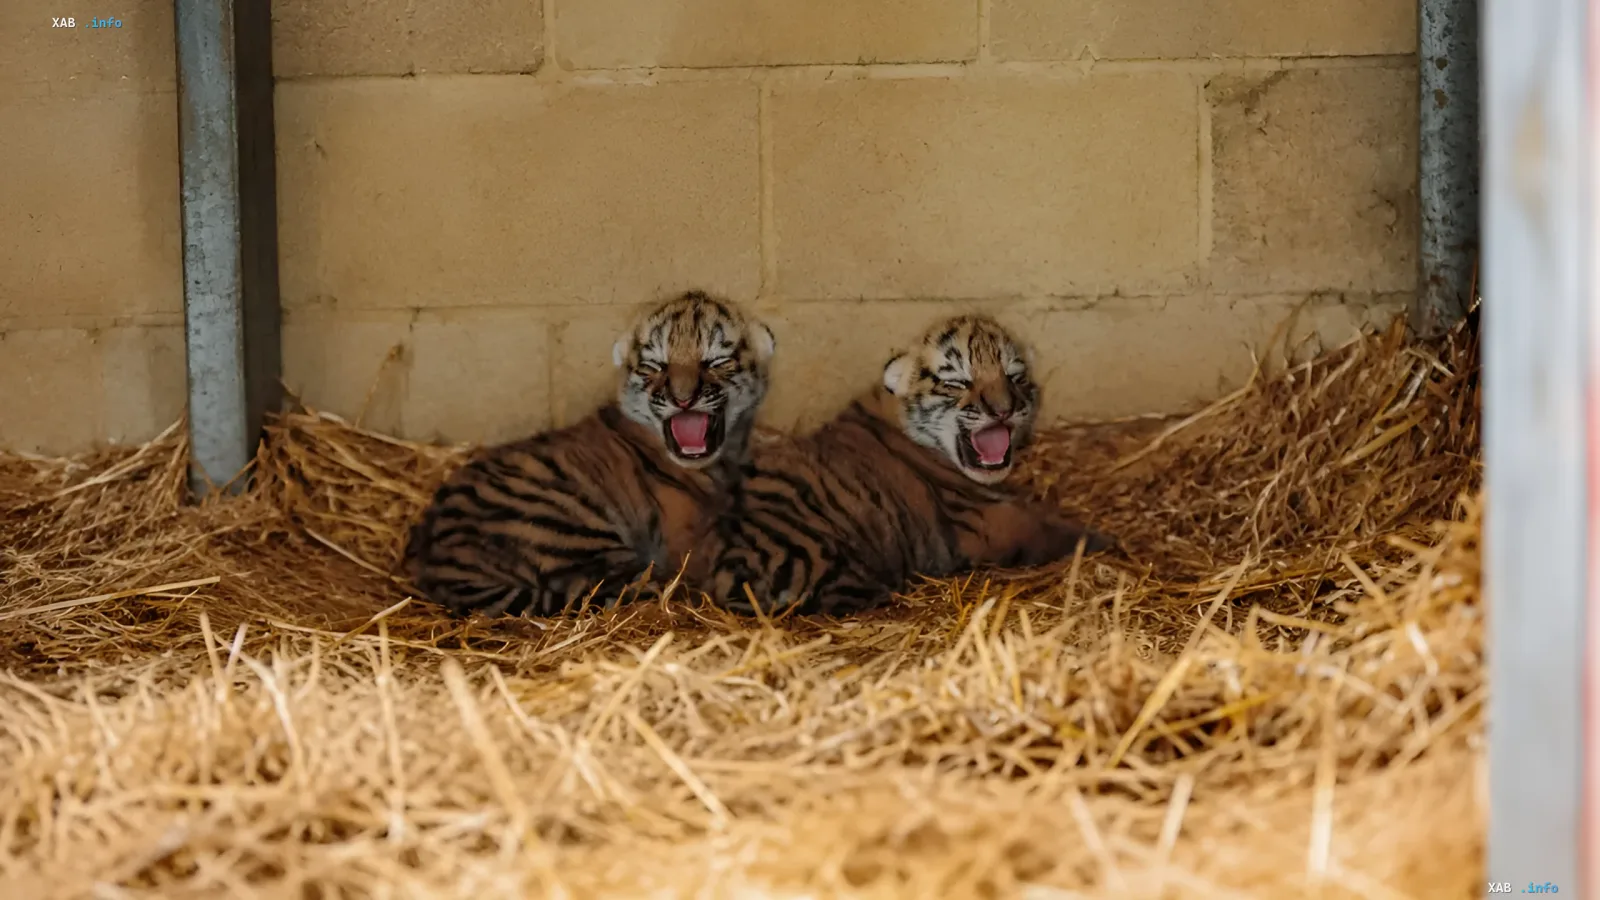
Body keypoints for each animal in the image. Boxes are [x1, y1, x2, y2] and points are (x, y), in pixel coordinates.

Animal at [402, 290, 777, 618]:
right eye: (654, 366)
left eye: (717, 361)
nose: (682, 399)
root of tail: (437, 560)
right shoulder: (687, 543)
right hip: (574, 532)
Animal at [695, 314, 1113, 617]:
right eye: (958, 382)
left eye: (1014, 376)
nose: (1003, 410)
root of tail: (729, 572)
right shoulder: (989, 521)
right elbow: (1055, 531)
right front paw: (1111, 543)